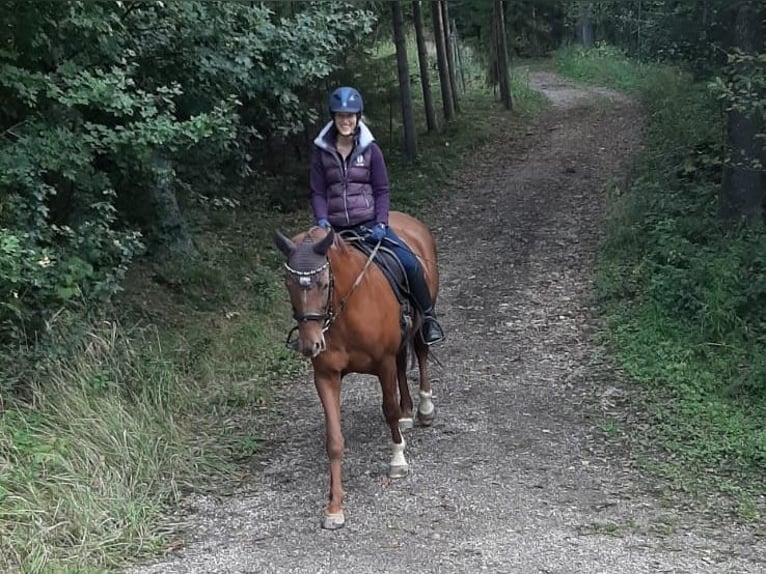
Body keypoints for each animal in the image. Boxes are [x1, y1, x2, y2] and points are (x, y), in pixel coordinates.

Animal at [274, 210, 440, 532]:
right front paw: (334, 507)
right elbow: (334, 440)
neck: (345, 312)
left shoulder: (383, 362)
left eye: (324, 284)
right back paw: (407, 412)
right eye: (288, 284)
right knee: (403, 363)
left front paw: (397, 461)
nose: (310, 344)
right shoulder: (326, 376)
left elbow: (388, 409)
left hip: (419, 321)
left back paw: (424, 409)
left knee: (421, 352)